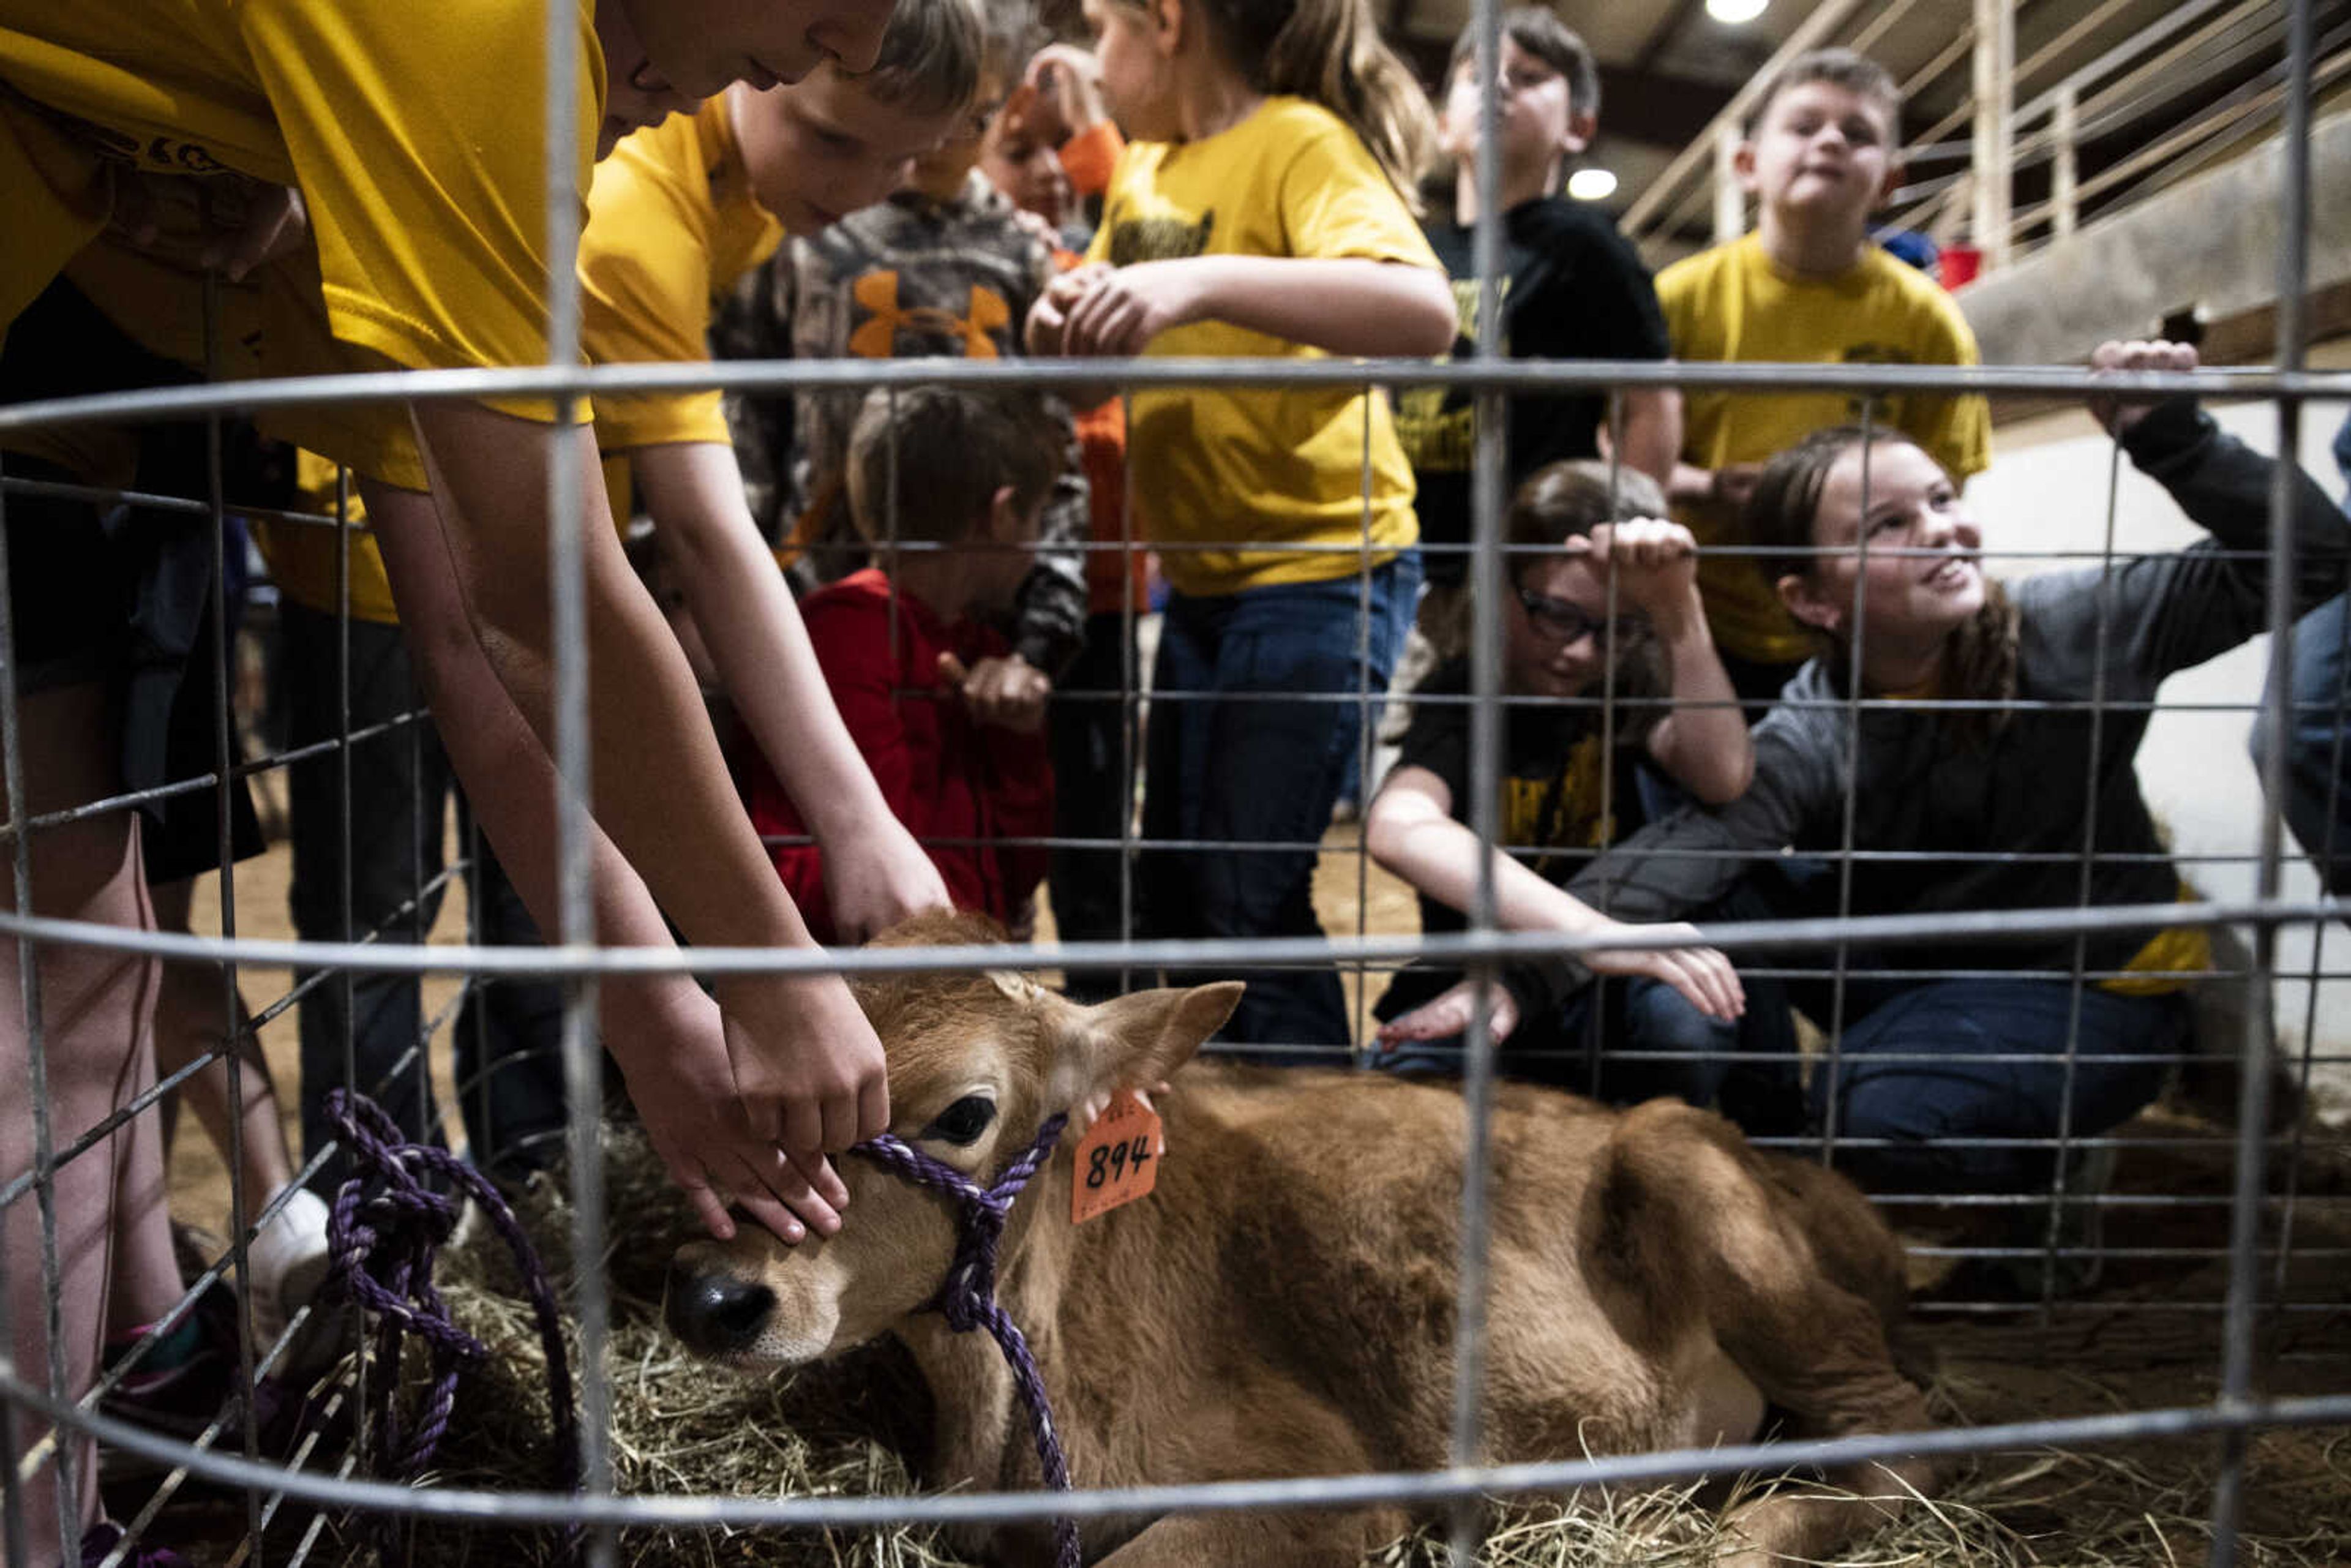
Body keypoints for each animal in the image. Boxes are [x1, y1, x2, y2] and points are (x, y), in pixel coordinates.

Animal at [662, 912, 1927, 1561]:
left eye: (965, 1113)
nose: (714, 1293)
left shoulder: (1328, 1482)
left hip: (1699, 1184)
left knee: (1899, 1426)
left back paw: (1751, 1532)